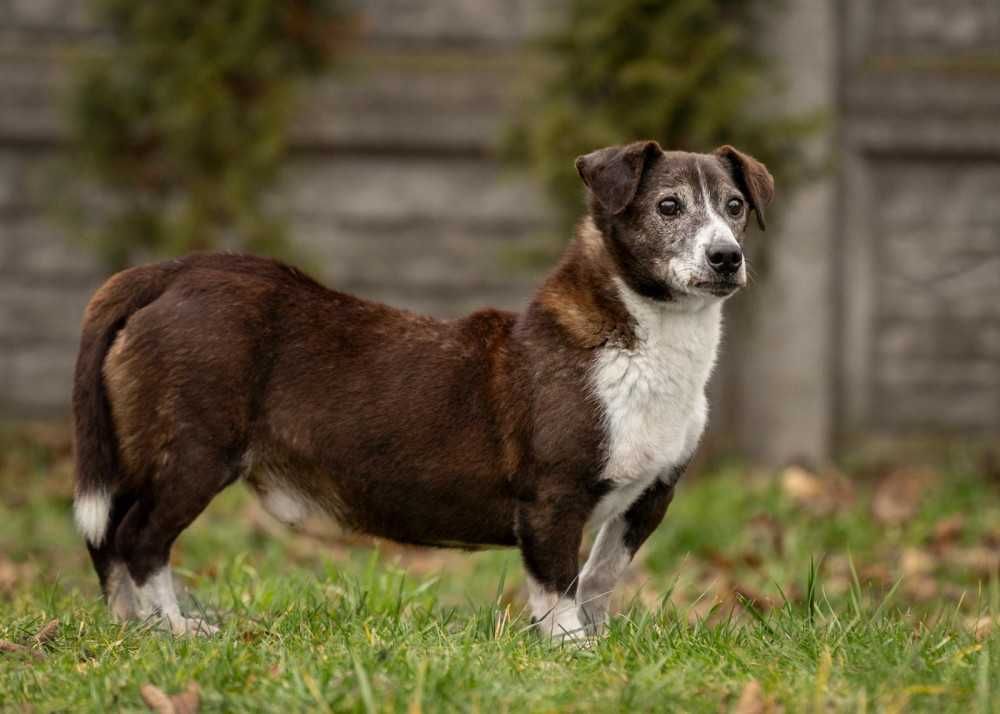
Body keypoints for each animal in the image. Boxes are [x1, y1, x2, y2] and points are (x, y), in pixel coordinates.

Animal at [72, 139, 772, 636]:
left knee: (109, 541)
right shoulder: (551, 498)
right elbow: (558, 588)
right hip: (192, 455)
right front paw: (570, 650)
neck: (646, 340)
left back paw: (130, 630)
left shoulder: (649, 497)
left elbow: (599, 577)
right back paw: (176, 630)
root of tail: (167, 273)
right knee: (139, 541)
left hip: (142, 458)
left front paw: (597, 644)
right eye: (668, 206)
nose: (727, 258)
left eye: (734, 207)